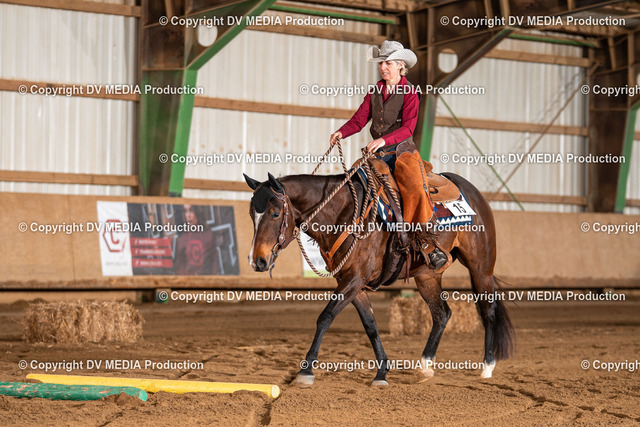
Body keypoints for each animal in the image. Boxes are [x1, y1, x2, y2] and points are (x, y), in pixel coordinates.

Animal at [243, 169, 514, 386]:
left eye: (275, 213)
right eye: (251, 214)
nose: (258, 261)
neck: (344, 213)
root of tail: (473, 192)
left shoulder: (354, 279)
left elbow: (325, 317)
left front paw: (306, 370)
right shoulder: (352, 283)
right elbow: (370, 324)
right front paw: (382, 373)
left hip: (481, 267)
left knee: (488, 310)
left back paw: (487, 366)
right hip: (427, 276)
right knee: (442, 314)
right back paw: (425, 366)